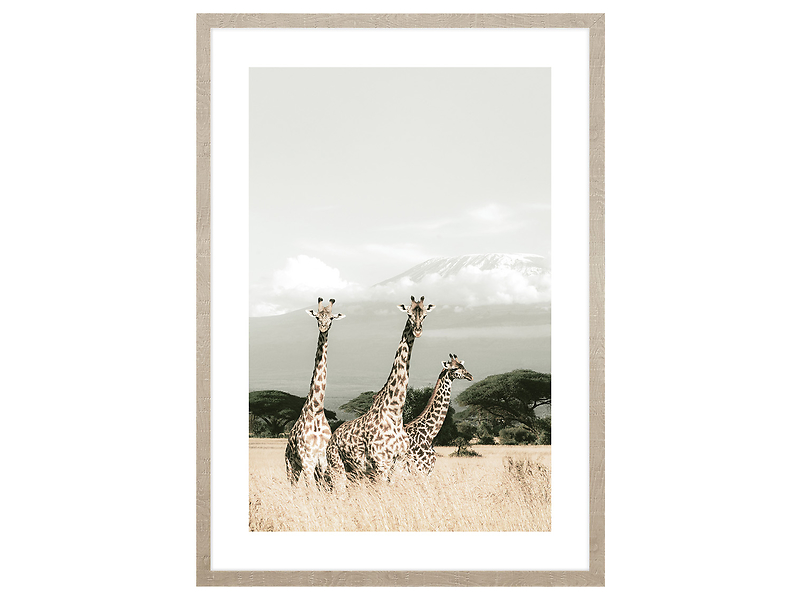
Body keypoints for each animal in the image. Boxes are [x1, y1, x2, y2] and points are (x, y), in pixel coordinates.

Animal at [284, 298, 345, 487]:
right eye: (317, 317)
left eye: (331, 318)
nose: (323, 327)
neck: (317, 409)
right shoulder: (307, 460)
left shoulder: (323, 460)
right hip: (291, 465)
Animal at [326, 296, 435, 489]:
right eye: (409, 314)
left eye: (425, 315)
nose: (417, 331)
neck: (395, 412)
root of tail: (332, 438)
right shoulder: (381, 463)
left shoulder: (399, 462)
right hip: (337, 466)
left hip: (355, 472)